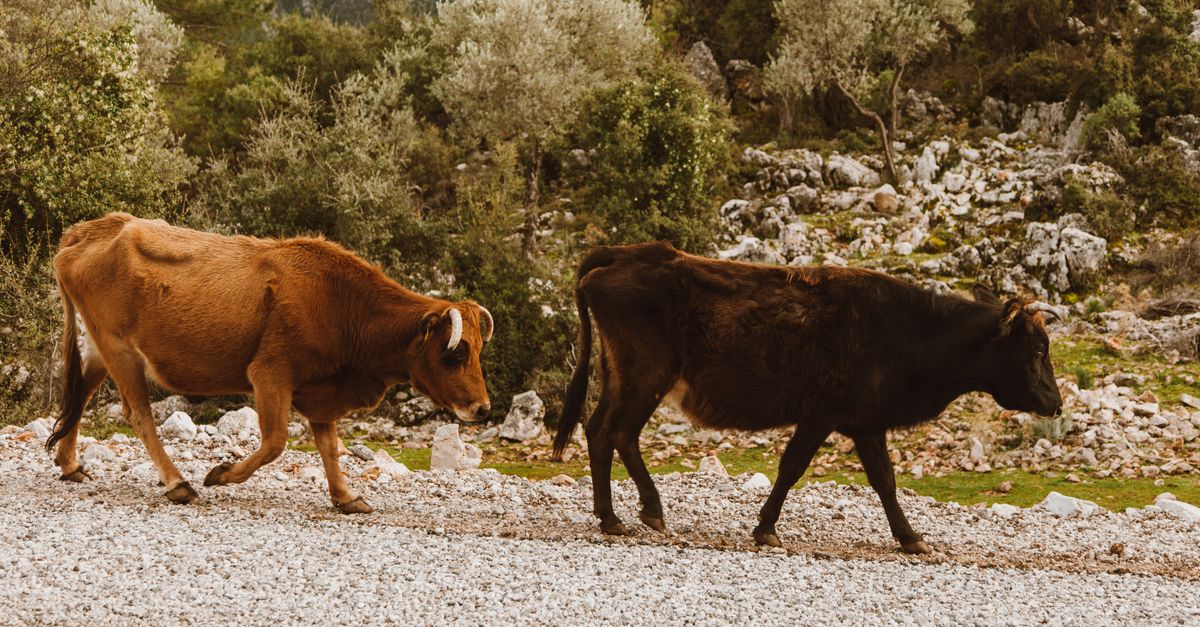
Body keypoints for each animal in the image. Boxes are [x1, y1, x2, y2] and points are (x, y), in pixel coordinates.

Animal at [47, 213, 494, 513]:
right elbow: (275, 443)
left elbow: (329, 448)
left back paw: (70, 465)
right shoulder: (270, 374)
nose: (483, 408)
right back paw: (177, 483)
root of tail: (93, 228)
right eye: (454, 352)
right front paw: (222, 474)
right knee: (138, 413)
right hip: (119, 349)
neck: (338, 301)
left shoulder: (321, 390)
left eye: (477, 351)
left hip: (101, 347)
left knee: (80, 392)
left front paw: (345, 496)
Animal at [552, 242, 1062, 554]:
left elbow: (885, 481)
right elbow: (793, 467)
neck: (909, 332)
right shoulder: (822, 414)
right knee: (619, 432)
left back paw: (610, 516)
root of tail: (624, 254)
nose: (1055, 403)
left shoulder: (867, 424)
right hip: (645, 377)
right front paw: (766, 529)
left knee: (600, 432)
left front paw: (910, 537)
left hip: (622, 377)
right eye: (1038, 349)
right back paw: (646, 512)